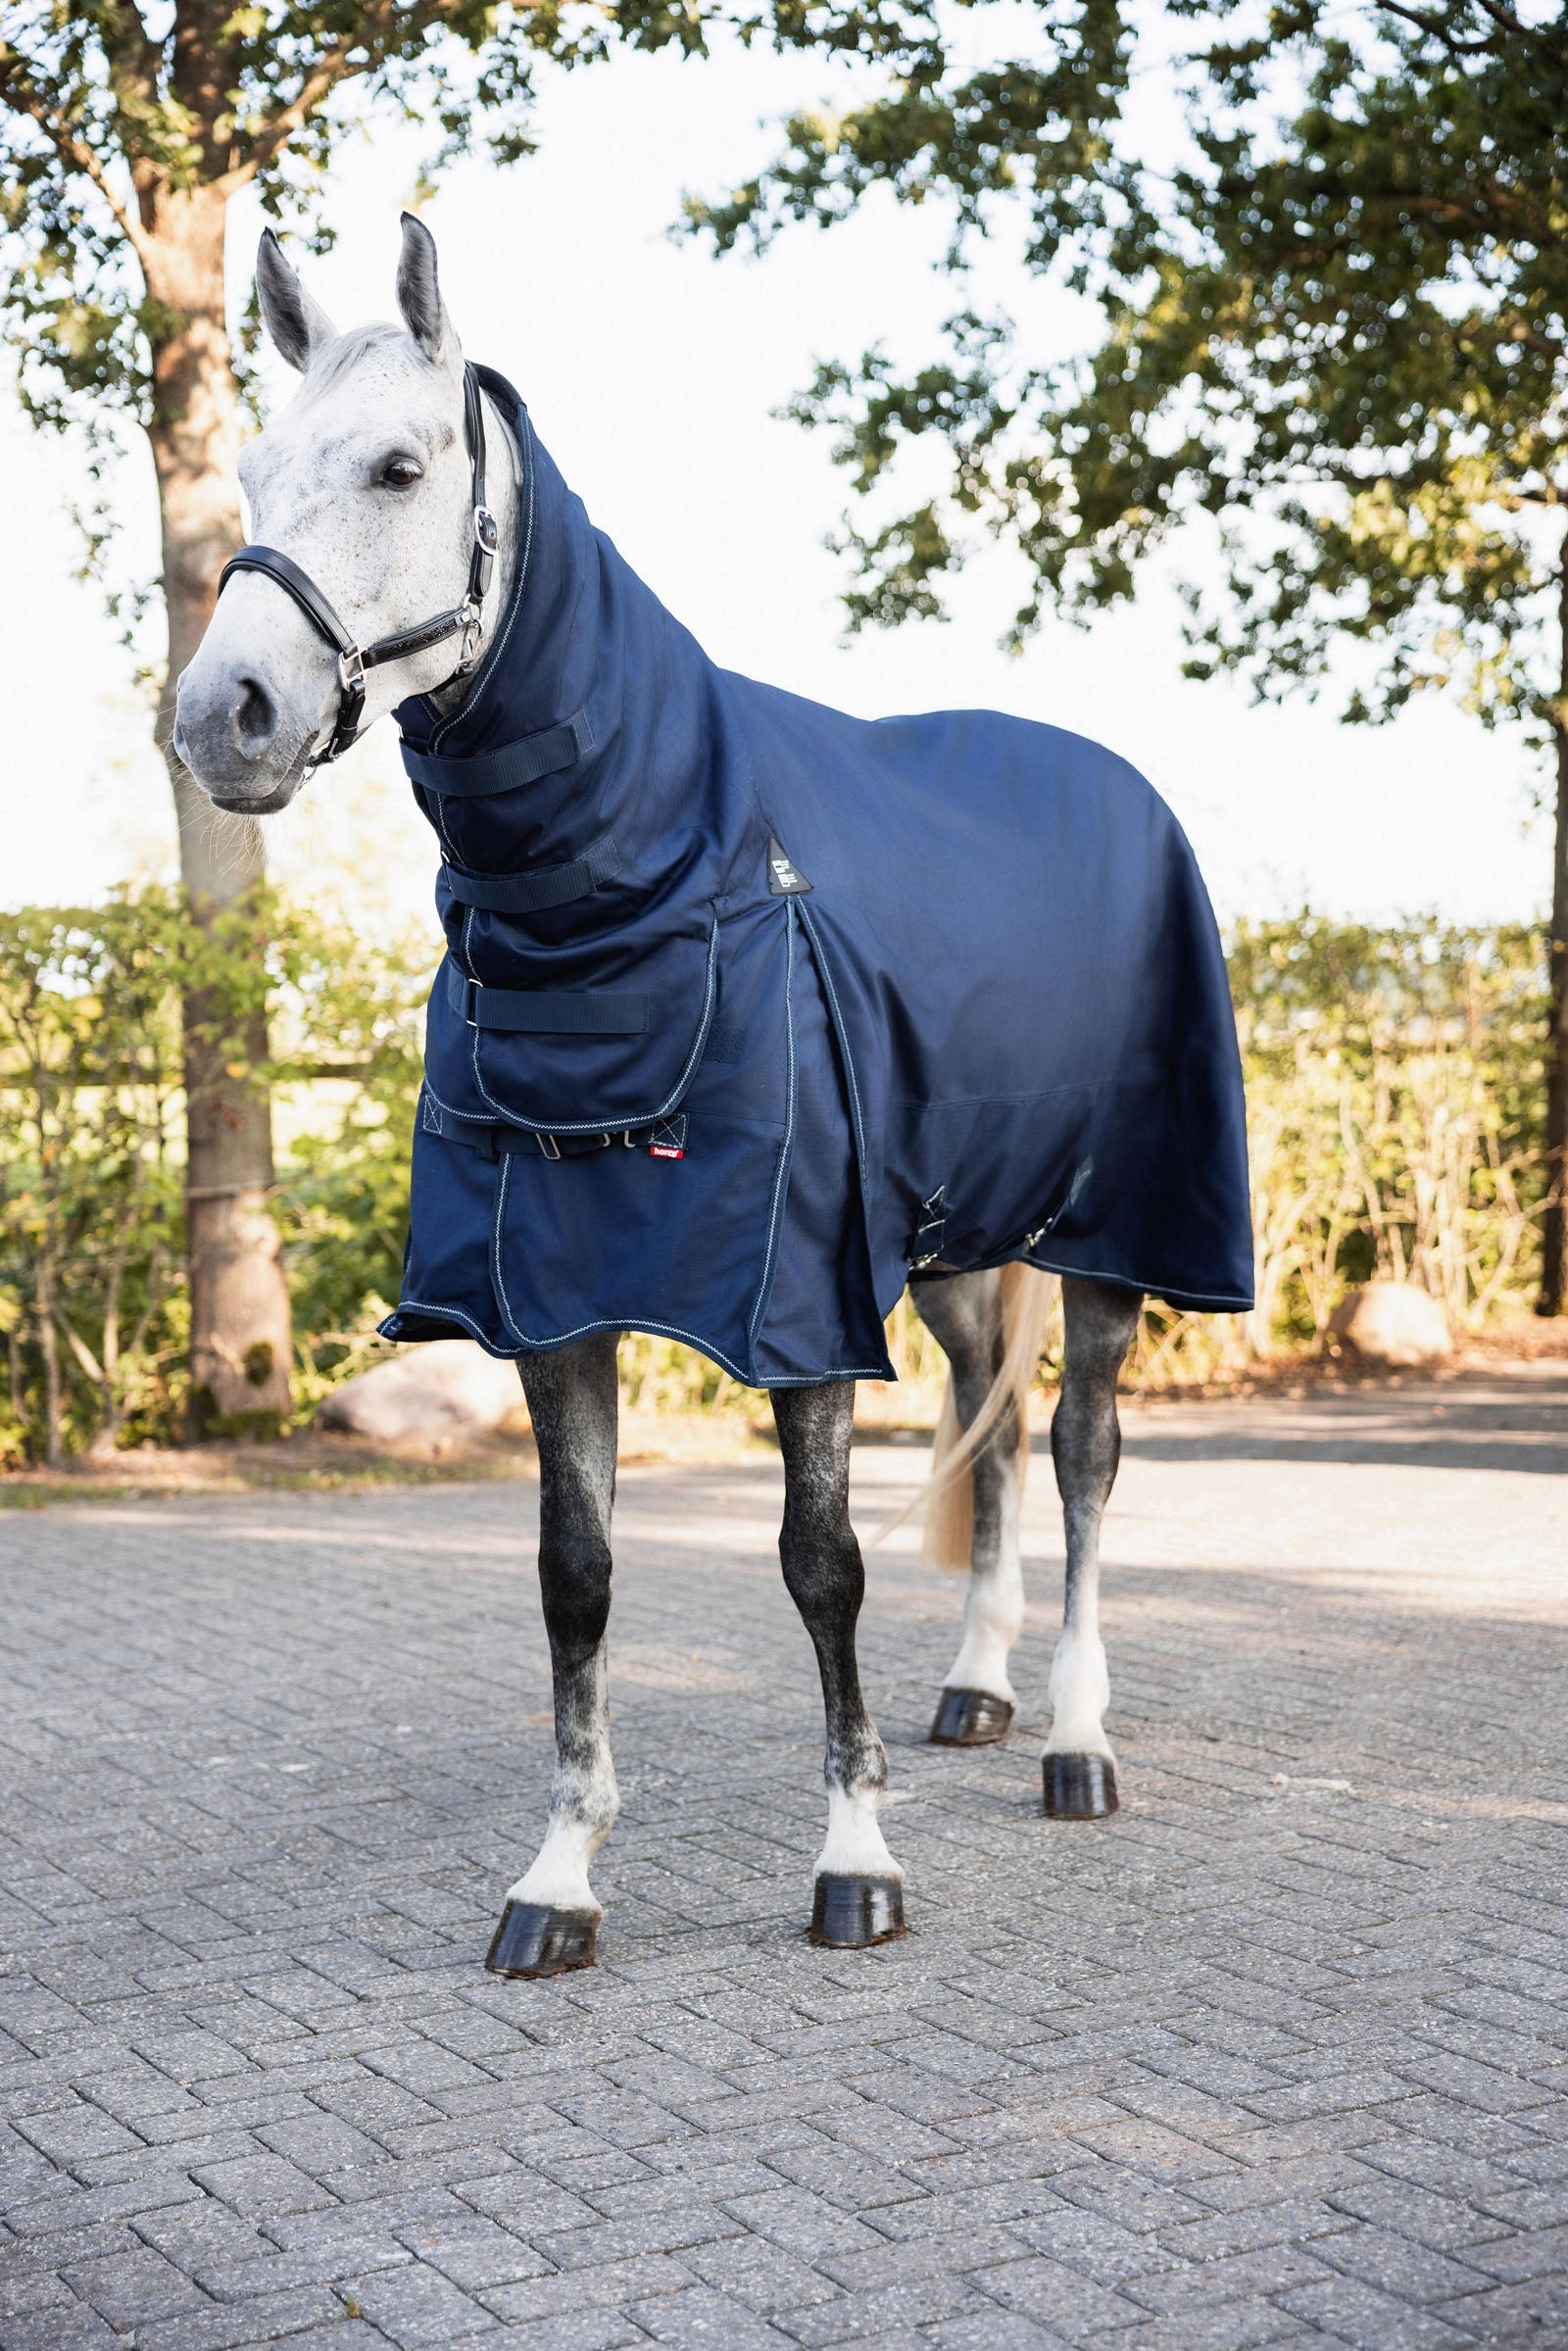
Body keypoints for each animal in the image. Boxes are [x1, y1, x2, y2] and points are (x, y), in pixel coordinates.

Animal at [175, 215, 1252, 1977]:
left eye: (400, 465)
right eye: (253, 473)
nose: (224, 718)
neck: (642, 894)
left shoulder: (796, 1296)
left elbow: (821, 1563)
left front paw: (856, 1859)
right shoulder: (548, 1302)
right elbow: (577, 1574)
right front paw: (557, 1878)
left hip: (1113, 1237)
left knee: (1086, 1450)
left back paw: (1078, 1739)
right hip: (954, 1251)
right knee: (994, 1426)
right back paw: (978, 1685)